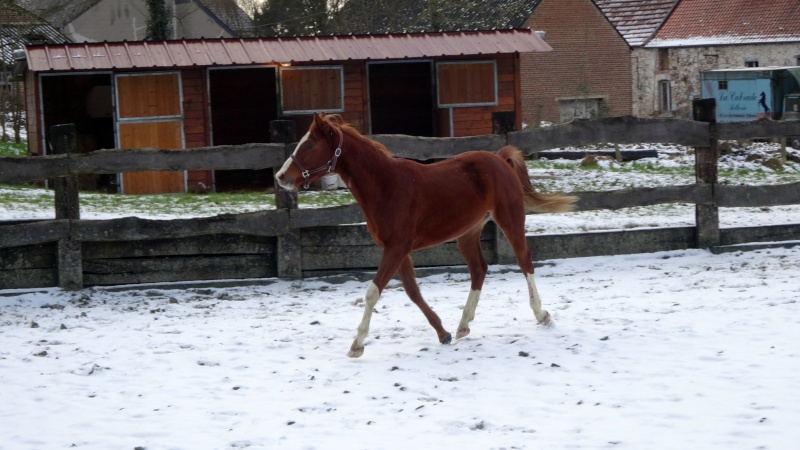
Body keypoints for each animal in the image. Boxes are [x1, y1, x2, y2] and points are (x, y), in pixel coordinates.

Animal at [276, 113, 576, 358]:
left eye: (310, 145)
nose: (280, 177)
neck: (385, 186)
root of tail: (500, 158)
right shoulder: (397, 249)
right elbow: (412, 291)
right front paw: (443, 334)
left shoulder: (396, 248)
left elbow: (373, 292)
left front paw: (357, 345)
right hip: (468, 233)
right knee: (479, 269)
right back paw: (462, 326)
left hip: (510, 219)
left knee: (524, 261)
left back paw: (542, 314)